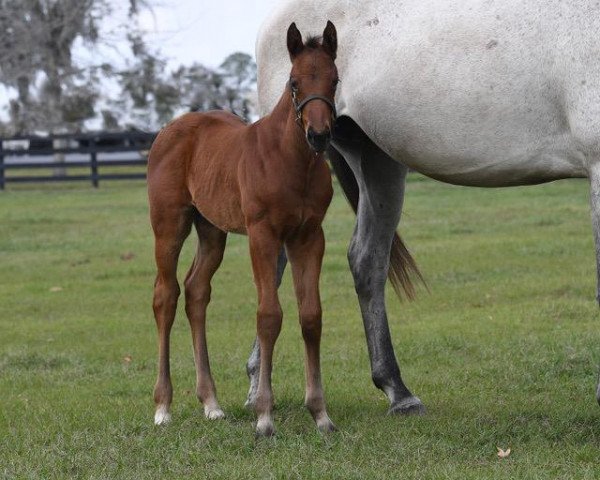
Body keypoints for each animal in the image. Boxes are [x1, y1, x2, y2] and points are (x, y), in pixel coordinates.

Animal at [147, 21, 338, 436]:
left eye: (334, 80)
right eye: (294, 81)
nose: (318, 135)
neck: (291, 161)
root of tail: (170, 128)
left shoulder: (309, 236)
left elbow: (311, 316)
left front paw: (320, 412)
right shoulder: (263, 235)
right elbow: (269, 316)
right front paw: (264, 416)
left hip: (211, 229)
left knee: (196, 291)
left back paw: (211, 403)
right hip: (169, 224)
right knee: (166, 296)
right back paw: (163, 407)